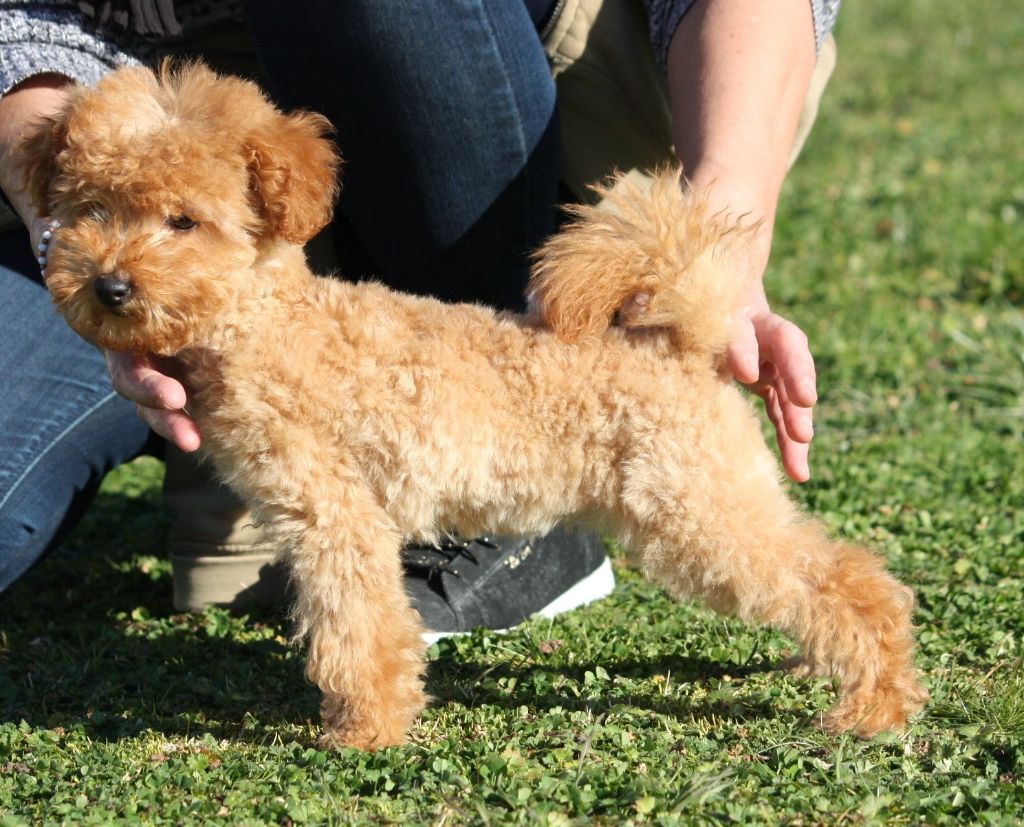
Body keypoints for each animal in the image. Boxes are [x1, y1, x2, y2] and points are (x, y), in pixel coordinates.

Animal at [16, 64, 929, 749]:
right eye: (91, 209)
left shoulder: (334, 515)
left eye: (184, 220)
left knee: (847, 580)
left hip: (695, 510)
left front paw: (365, 729)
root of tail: (683, 337)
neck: (269, 323)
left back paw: (874, 701)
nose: (110, 288)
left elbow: (357, 629)